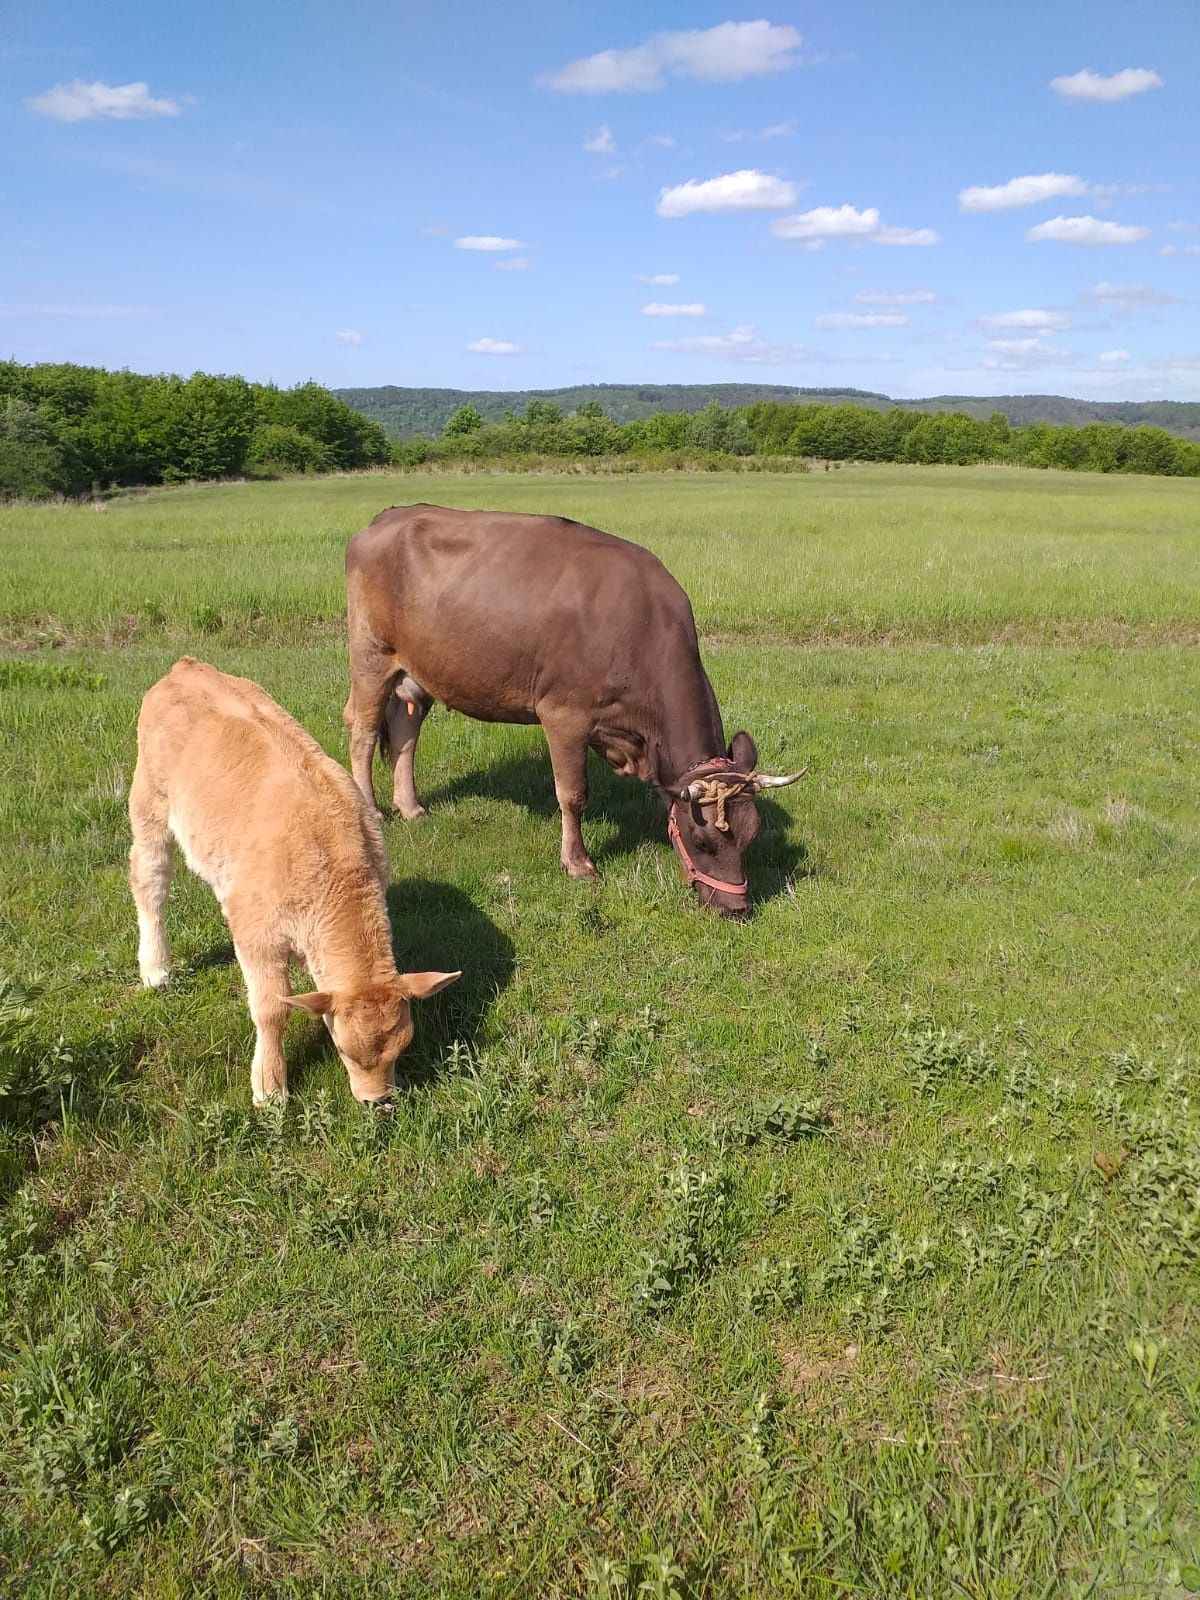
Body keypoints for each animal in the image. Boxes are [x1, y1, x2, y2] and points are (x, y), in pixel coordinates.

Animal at [130, 659, 460, 1100]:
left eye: (403, 1046)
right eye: (344, 1050)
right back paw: (156, 969)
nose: (377, 1100)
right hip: (149, 803)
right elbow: (271, 1010)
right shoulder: (257, 937)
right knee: (150, 880)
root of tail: (186, 667)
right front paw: (269, 1086)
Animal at [342, 505, 803, 921]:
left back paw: (411, 807)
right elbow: (573, 794)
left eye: (751, 837)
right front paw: (578, 863)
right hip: (371, 655)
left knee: (405, 730)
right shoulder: (564, 715)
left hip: (418, 668)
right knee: (362, 730)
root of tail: (388, 517)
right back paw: (373, 809)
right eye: (701, 840)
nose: (735, 908)